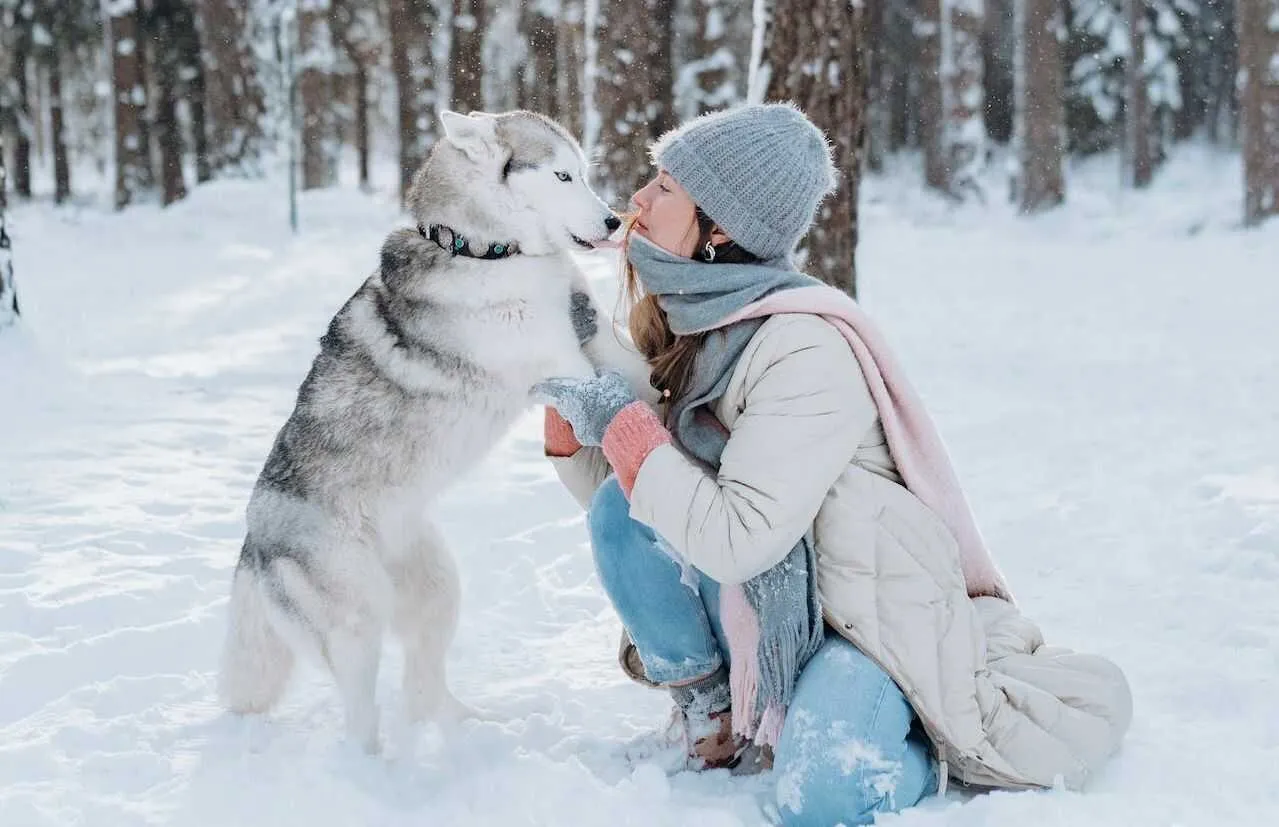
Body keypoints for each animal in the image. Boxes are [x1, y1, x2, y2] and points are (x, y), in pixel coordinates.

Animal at [217, 108, 649, 751]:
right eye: (562, 176)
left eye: (585, 173)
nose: (614, 220)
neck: (485, 251)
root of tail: (253, 545)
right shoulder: (570, 367)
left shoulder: (598, 343)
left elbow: (645, 376)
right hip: (359, 620)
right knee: (362, 716)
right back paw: (374, 767)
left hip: (437, 586)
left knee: (423, 691)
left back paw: (473, 730)